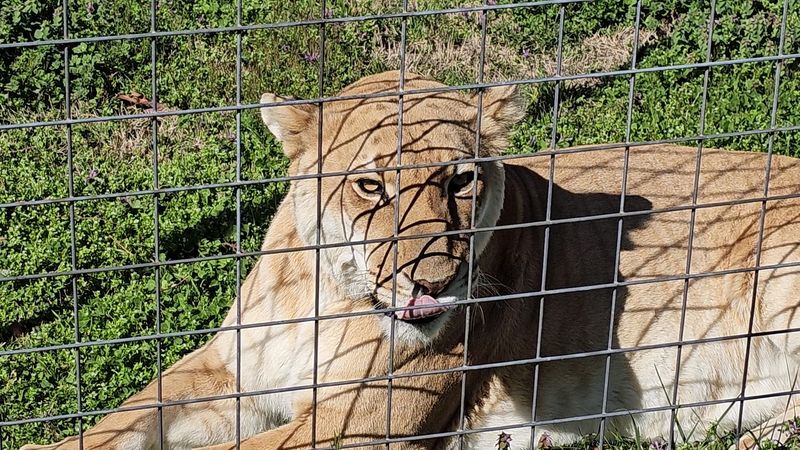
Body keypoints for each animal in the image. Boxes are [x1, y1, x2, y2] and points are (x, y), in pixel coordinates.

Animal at [21, 71, 800, 450]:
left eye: (460, 181)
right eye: (371, 185)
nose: (435, 281)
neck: (326, 297)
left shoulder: (361, 421)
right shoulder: (228, 374)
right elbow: (121, 422)